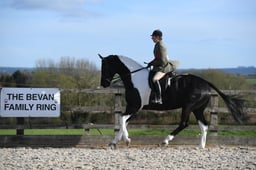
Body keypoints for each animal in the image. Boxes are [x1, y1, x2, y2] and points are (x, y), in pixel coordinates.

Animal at [98, 53, 246, 148]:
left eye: (105, 67)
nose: (104, 83)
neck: (134, 78)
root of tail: (205, 82)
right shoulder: (134, 108)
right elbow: (123, 122)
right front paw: (114, 142)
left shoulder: (134, 107)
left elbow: (122, 119)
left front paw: (127, 140)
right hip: (197, 109)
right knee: (203, 125)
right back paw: (200, 146)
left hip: (188, 106)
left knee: (184, 124)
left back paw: (165, 141)